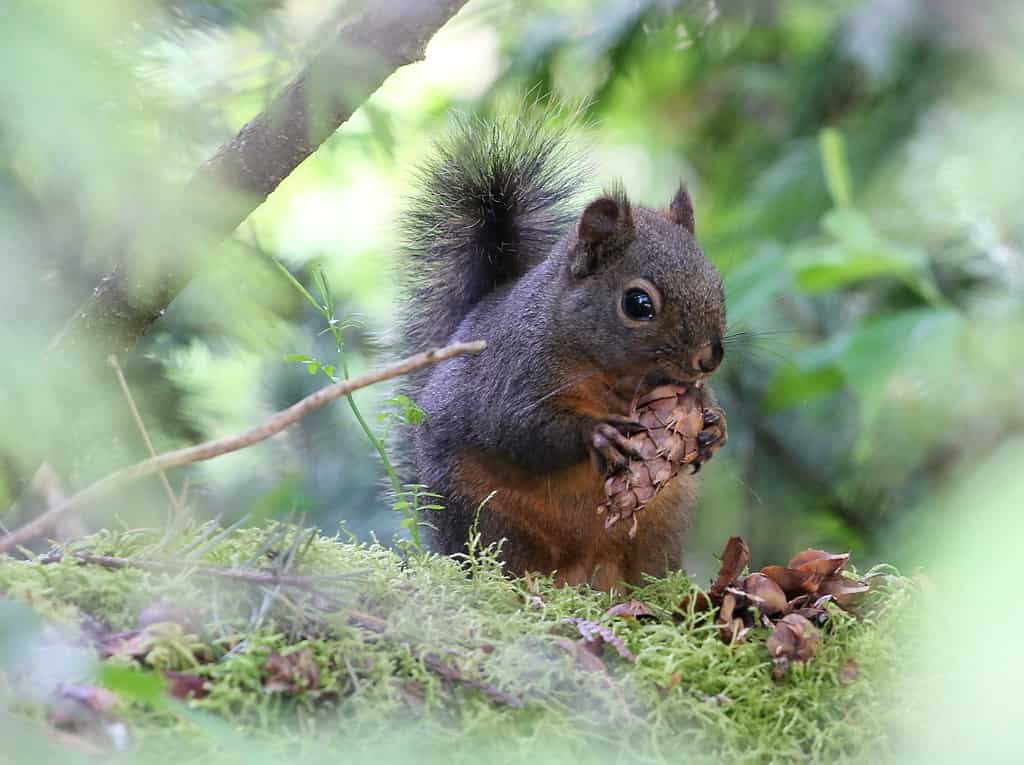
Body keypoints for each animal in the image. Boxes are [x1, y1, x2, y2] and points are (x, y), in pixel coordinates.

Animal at [393, 115, 729, 593]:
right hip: (485, 517)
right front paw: (598, 434)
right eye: (638, 304)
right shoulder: (513, 371)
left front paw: (715, 425)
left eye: (716, 284)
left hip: (662, 521)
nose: (710, 357)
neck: (616, 378)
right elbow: (516, 427)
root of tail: (583, 569)